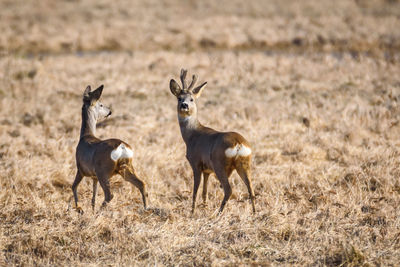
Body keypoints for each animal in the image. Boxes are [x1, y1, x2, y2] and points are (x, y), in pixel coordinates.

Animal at [71, 85, 148, 213]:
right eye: (101, 104)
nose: (110, 111)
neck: (85, 136)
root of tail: (122, 146)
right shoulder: (94, 176)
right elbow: (93, 196)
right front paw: (89, 210)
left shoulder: (80, 169)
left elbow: (73, 186)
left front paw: (79, 209)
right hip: (126, 168)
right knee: (142, 184)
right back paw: (146, 208)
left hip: (103, 171)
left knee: (109, 194)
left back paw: (98, 213)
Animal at [169, 70, 256, 215]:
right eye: (179, 98)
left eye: (192, 99)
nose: (184, 105)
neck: (192, 135)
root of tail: (238, 144)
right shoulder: (207, 170)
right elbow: (204, 192)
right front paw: (204, 208)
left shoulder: (196, 163)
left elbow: (195, 191)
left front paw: (192, 212)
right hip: (244, 163)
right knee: (251, 188)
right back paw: (254, 213)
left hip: (219, 163)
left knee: (228, 189)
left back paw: (218, 214)